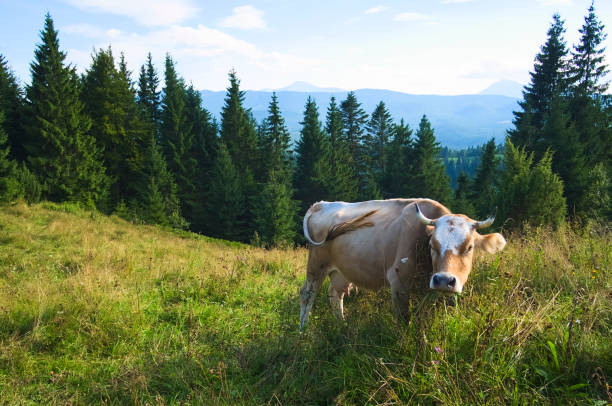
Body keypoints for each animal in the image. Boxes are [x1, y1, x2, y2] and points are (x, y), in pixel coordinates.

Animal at [298, 199, 504, 330]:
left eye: (469, 247)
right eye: (432, 245)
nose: (444, 280)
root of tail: (321, 204)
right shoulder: (398, 283)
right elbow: (405, 321)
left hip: (341, 270)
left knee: (335, 294)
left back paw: (342, 326)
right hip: (316, 264)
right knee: (308, 295)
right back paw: (303, 331)